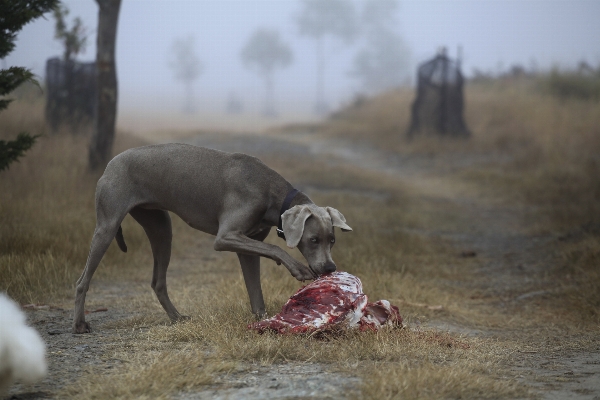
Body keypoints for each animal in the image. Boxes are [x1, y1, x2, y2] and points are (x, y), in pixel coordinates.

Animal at [71, 144, 352, 334]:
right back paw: (80, 324)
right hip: (107, 225)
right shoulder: (226, 237)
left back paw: (177, 317)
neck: (272, 192)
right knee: (82, 280)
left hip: (161, 226)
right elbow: (274, 247)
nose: (330, 268)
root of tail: (111, 163)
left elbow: (256, 290)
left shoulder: (247, 246)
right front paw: (297, 268)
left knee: (158, 281)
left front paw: (263, 320)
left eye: (332, 240)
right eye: (313, 240)